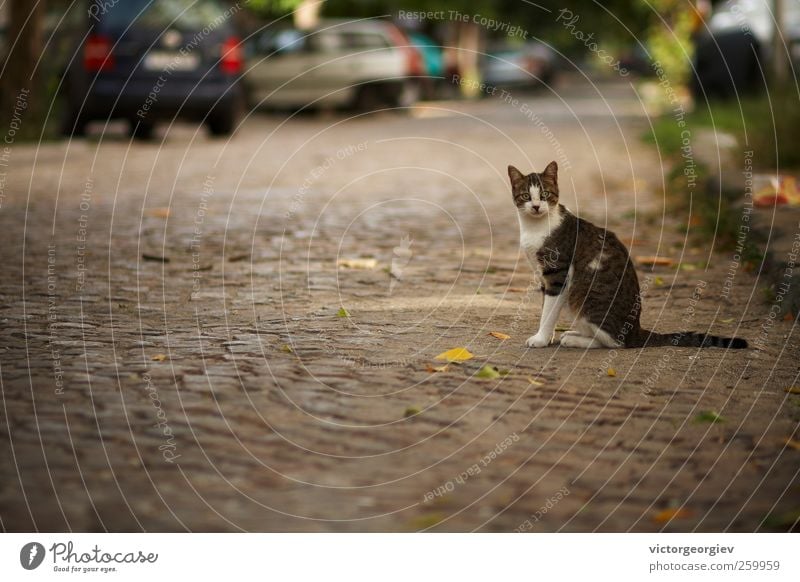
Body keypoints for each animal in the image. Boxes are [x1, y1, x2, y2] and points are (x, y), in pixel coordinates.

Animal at [510, 160, 748, 350]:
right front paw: (547, 337)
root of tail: (636, 330)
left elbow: (548, 311)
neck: (536, 227)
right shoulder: (543, 276)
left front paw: (540, 339)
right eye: (526, 196)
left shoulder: (557, 273)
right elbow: (545, 307)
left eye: (545, 195)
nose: (536, 206)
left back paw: (575, 339)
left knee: (615, 342)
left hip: (583, 296)